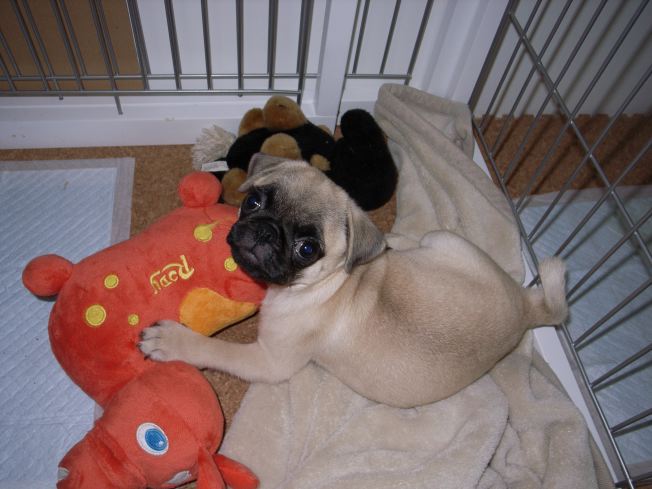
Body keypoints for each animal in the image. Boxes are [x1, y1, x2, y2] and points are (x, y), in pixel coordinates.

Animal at [139, 154, 568, 408]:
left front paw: (173, 341)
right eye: (254, 202)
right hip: (444, 239)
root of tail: (528, 306)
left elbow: (217, 350)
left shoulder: (269, 361)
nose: (264, 232)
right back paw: (392, 243)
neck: (333, 282)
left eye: (307, 249)